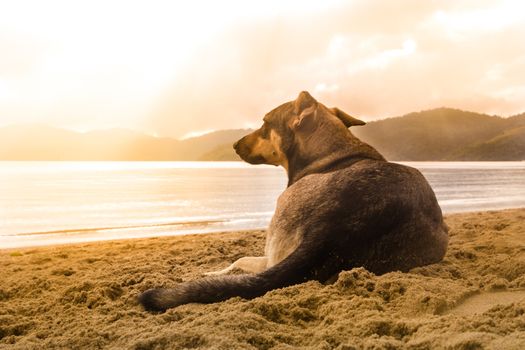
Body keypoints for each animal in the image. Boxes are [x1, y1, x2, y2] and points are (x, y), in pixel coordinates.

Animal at [138, 91, 446, 312]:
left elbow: (238, 259)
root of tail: (338, 225)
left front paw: (211, 271)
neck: (333, 150)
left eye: (264, 123)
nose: (234, 145)